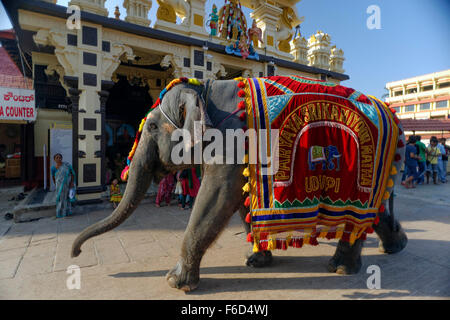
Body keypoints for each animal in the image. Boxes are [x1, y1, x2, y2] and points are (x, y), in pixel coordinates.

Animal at [73, 76, 408, 292]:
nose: (75, 254)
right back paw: (395, 246)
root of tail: (396, 118)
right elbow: (241, 200)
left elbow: (216, 198)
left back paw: (340, 268)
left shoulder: (231, 142)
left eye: (153, 126)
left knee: (359, 216)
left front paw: (175, 283)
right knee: (377, 211)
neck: (204, 89)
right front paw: (256, 262)